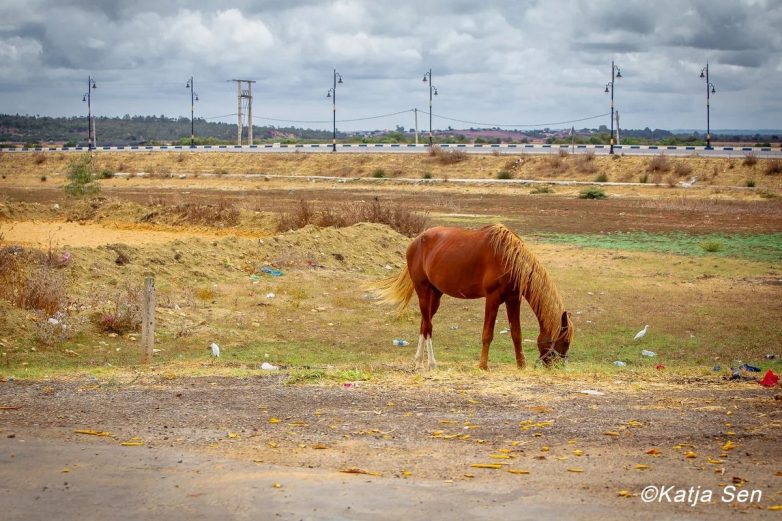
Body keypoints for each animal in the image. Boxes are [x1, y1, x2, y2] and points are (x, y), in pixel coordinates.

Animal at [374, 223, 576, 370]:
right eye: (565, 341)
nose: (557, 366)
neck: (510, 258)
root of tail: (415, 242)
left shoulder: (513, 300)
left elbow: (516, 334)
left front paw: (521, 365)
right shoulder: (492, 299)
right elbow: (487, 334)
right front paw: (483, 366)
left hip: (435, 296)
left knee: (424, 324)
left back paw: (418, 362)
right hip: (423, 291)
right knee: (428, 327)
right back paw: (431, 363)